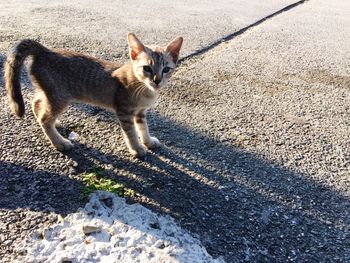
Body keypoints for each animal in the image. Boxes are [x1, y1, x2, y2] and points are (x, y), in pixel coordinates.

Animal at [4, 32, 183, 157]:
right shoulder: (124, 111)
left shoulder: (140, 112)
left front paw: (148, 141)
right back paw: (59, 142)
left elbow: (143, 127)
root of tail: (45, 50)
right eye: (147, 68)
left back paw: (56, 123)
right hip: (59, 96)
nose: (157, 80)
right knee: (44, 118)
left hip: (49, 92)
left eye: (166, 69)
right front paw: (136, 148)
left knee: (36, 104)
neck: (143, 88)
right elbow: (131, 132)